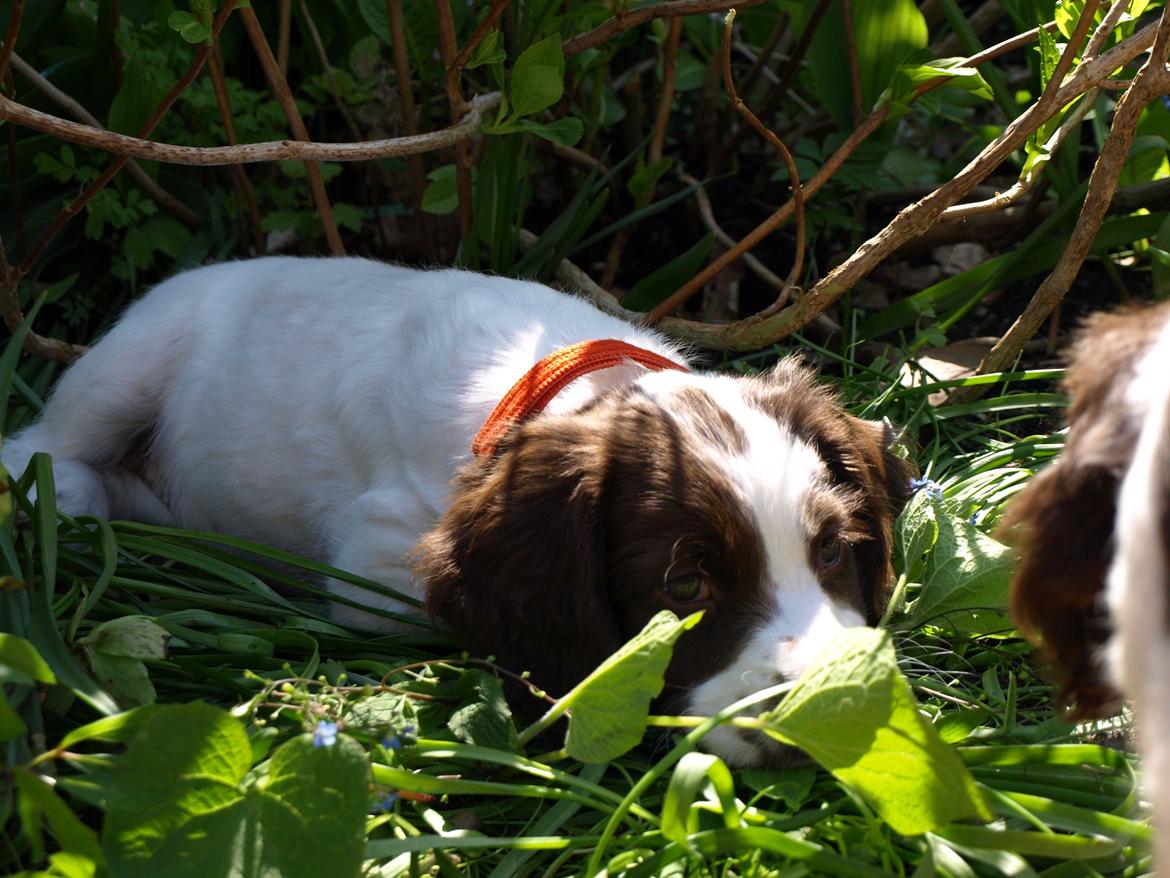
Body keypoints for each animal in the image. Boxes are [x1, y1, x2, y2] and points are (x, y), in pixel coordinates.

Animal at [2, 257, 912, 767]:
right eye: (685, 585)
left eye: (834, 552)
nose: (841, 709)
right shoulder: (374, 568)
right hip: (130, 360)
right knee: (42, 446)